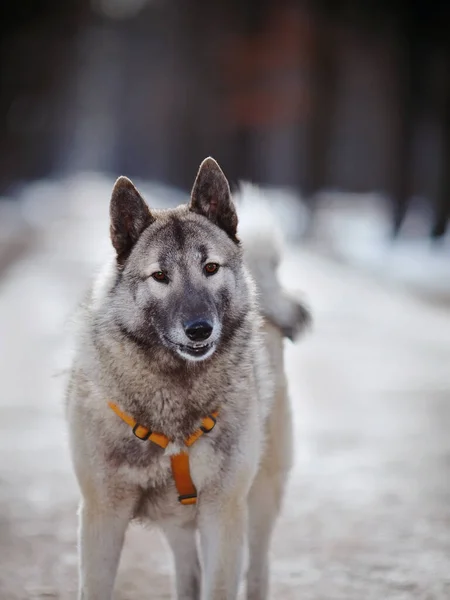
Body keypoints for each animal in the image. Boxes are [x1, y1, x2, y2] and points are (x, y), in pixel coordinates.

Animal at [66, 158, 310, 600]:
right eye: (160, 276)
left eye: (210, 268)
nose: (199, 330)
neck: (174, 393)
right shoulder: (102, 514)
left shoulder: (223, 512)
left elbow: (221, 584)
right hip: (177, 517)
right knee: (188, 568)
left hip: (261, 495)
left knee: (258, 566)